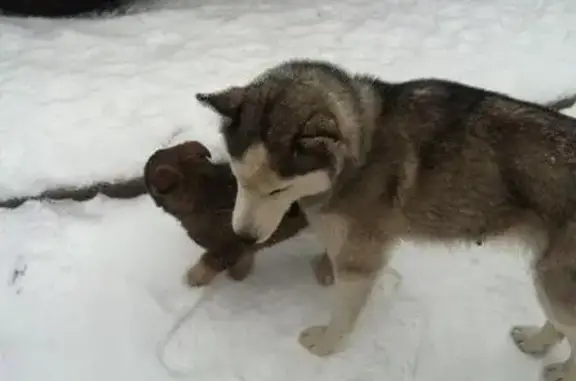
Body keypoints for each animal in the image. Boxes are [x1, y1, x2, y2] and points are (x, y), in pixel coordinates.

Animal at [143, 141, 328, 286]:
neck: (201, 187)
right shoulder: (241, 249)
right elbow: (242, 262)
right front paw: (240, 276)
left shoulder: (227, 249)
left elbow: (207, 263)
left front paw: (193, 280)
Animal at [196, 58, 576, 368]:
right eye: (238, 177)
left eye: (278, 189)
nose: (243, 236)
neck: (359, 148)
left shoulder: (359, 260)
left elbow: (343, 314)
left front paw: (325, 346)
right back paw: (536, 343)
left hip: (554, 281)